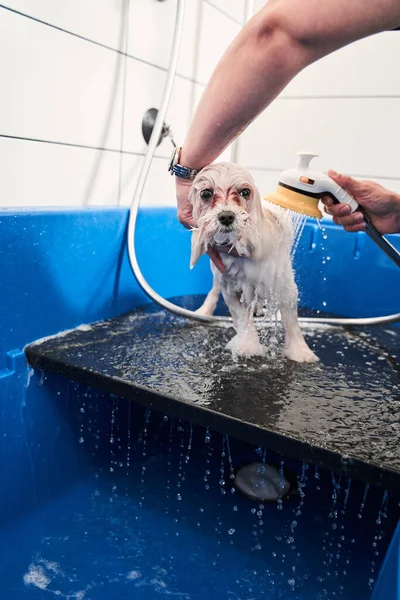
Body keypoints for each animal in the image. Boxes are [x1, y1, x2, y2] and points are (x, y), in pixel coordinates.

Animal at [188, 162, 318, 364]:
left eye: (245, 191)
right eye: (206, 194)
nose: (226, 216)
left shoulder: (284, 285)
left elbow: (291, 321)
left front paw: (300, 351)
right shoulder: (229, 287)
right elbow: (241, 317)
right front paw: (248, 345)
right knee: (214, 291)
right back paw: (203, 311)